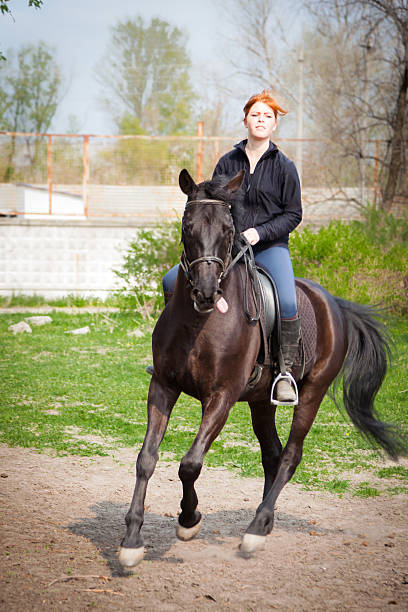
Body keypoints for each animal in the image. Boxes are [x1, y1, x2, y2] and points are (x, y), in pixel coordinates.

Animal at [118, 169, 404, 568]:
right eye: (188, 226)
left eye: (228, 229)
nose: (207, 293)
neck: (199, 322)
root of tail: (333, 303)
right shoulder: (162, 386)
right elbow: (146, 459)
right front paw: (132, 539)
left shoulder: (220, 398)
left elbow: (190, 463)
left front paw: (189, 520)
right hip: (259, 402)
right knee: (272, 454)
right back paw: (262, 523)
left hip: (311, 394)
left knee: (290, 456)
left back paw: (256, 529)